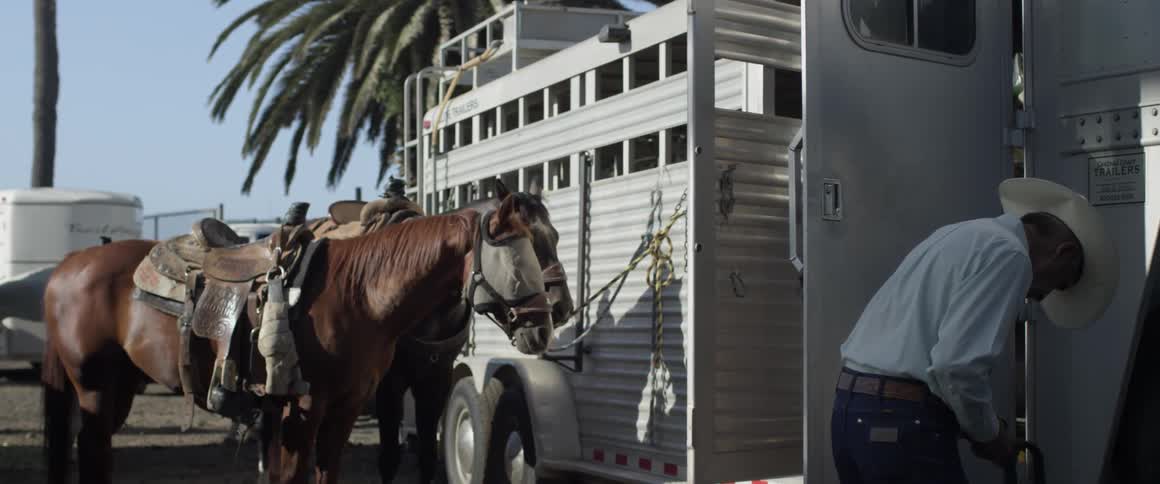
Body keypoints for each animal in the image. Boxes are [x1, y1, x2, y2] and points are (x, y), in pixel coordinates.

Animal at [41, 192, 554, 484]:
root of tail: (66, 266)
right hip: (92, 385)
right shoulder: (301, 407)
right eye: (519, 257)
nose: (544, 326)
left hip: (119, 385)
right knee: (92, 450)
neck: (358, 292)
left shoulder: (347, 406)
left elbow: (328, 471)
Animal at [374, 180, 575, 483]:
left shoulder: (435, 381)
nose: (562, 307)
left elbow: (427, 456)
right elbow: (388, 459)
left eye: (556, 237)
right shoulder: (389, 386)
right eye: (526, 249)